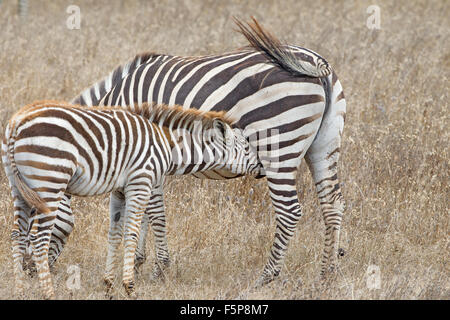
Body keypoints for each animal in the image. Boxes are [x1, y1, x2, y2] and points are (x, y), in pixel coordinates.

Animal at [2, 100, 260, 298]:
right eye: (247, 148)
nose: (262, 168)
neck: (167, 145)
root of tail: (16, 124)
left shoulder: (119, 190)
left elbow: (114, 234)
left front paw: (108, 285)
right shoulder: (141, 182)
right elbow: (132, 233)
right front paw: (130, 287)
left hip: (19, 188)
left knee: (17, 235)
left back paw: (20, 291)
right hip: (51, 183)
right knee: (38, 240)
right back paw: (48, 293)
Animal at [46, 18, 348, 286]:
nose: (36, 272)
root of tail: (318, 66)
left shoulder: (147, 154)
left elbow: (154, 212)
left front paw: (160, 270)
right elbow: (143, 212)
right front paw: (140, 263)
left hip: (279, 143)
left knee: (289, 211)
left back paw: (266, 277)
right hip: (325, 145)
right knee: (333, 203)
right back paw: (328, 274)